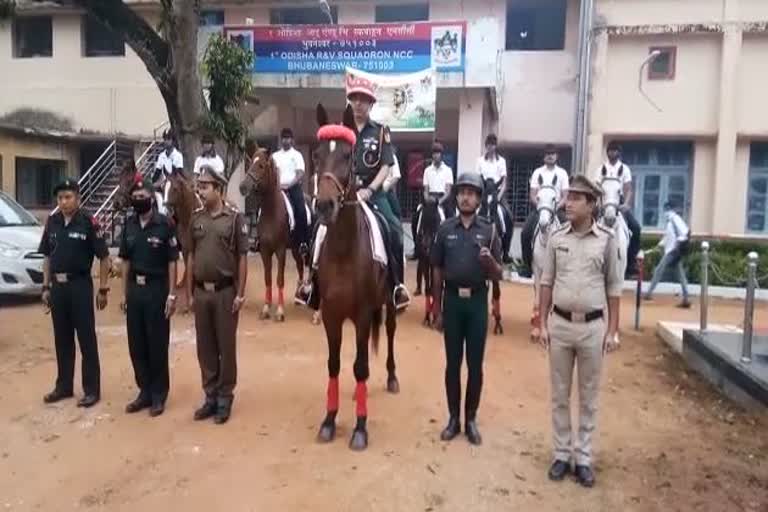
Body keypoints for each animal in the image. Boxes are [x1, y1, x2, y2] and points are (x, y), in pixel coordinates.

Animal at [240, 144, 306, 320]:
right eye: (250, 163)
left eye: (261, 166)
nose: (243, 187)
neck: (272, 212)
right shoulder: (265, 250)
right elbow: (268, 279)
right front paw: (266, 308)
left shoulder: (280, 250)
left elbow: (279, 279)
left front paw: (280, 311)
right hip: (295, 248)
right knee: (300, 266)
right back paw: (298, 296)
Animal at [312, 102, 400, 450]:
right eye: (315, 154)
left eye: (348, 155)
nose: (324, 205)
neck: (344, 250)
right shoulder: (331, 314)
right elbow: (334, 365)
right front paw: (329, 420)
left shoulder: (363, 314)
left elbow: (361, 367)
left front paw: (360, 428)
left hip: (388, 305)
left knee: (388, 334)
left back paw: (391, 377)